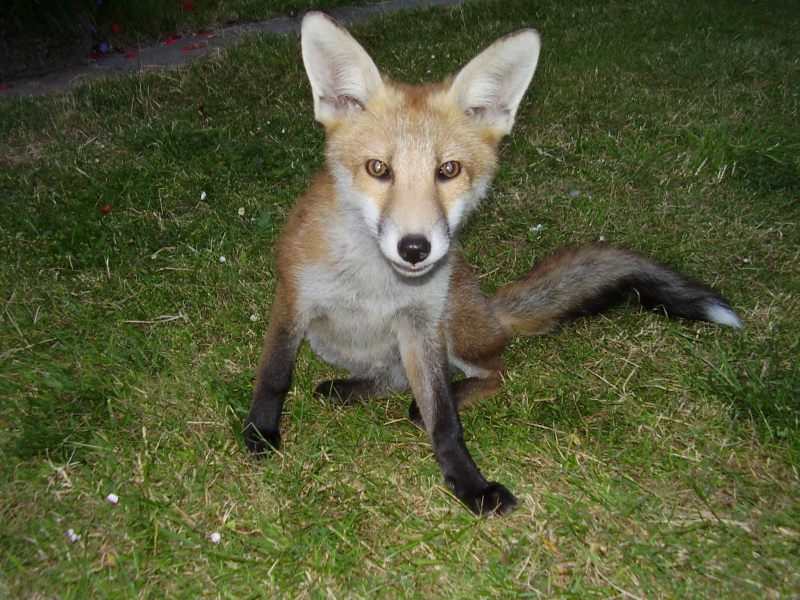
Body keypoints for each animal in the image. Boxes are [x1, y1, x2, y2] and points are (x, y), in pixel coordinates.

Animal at [245, 9, 744, 516]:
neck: (375, 284)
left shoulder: (421, 324)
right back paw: (349, 389)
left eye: (447, 170)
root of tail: (490, 310)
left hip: (452, 325)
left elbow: (444, 419)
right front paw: (260, 433)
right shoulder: (293, 298)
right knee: (397, 378)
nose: (415, 248)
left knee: (489, 373)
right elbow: (275, 376)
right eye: (377, 169)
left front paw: (470, 485)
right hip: (334, 340)